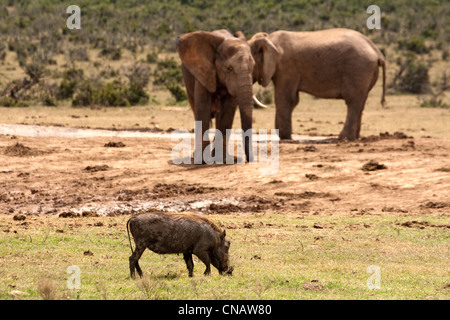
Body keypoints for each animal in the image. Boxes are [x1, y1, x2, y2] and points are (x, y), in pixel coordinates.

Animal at [178, 29, 256, 162]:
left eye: (254, 66)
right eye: (229, 68)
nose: (249, 160)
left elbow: (228, 110)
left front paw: (222, 159)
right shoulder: (203, 71)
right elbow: (203, 107)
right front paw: (201, 161)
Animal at [248, 28, 384, 141]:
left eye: (251, 64)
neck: (268, 39)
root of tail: (377, 51)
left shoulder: (286, 68)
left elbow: (285, 98)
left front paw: (284, 138)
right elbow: (293, 100)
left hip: (358, 68)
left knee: (353, 102)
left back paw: (343, 138)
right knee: (361, 102)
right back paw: (354, 138)